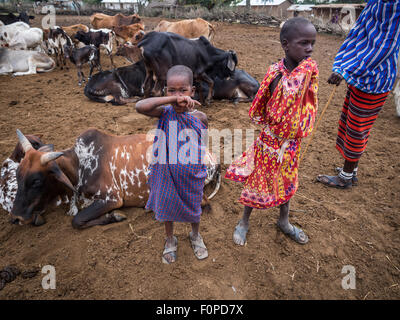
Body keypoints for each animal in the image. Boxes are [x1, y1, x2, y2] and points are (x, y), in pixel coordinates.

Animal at [10, 127, 222, 228]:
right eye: (17, 175)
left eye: (36, 181)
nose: (15, 217)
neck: (79, 165)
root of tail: (213, 157)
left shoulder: (112, 198)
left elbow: (77, 220)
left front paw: (114, 216)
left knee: (202, 203)